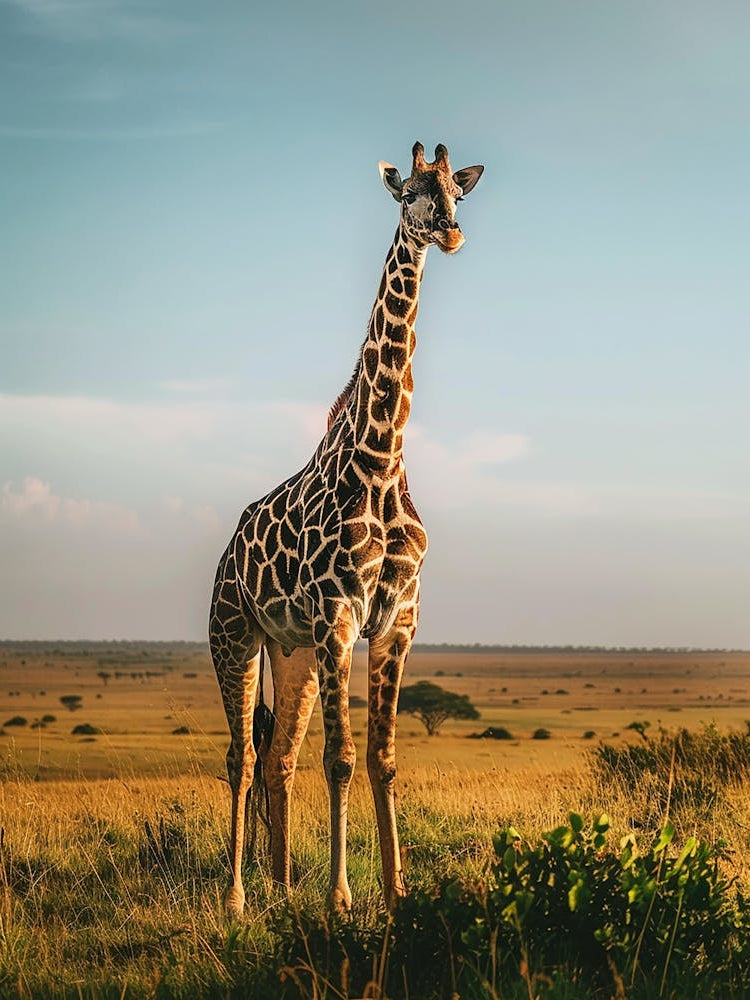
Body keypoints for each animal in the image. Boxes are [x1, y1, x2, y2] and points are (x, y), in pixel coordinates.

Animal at [209, 141, 483, 918]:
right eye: (411, 191)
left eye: (458, 191)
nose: (449, 232)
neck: (383, 457)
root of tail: (226, 553)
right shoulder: (339, 616)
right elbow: (341, 760)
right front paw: (340, 898)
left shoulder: (397, 621)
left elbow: (383, 759)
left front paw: (396, 890)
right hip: (234, 635)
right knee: (241, 757)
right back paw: (238, 897)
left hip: (292, 650)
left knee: (279, 758)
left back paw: (280, 886)